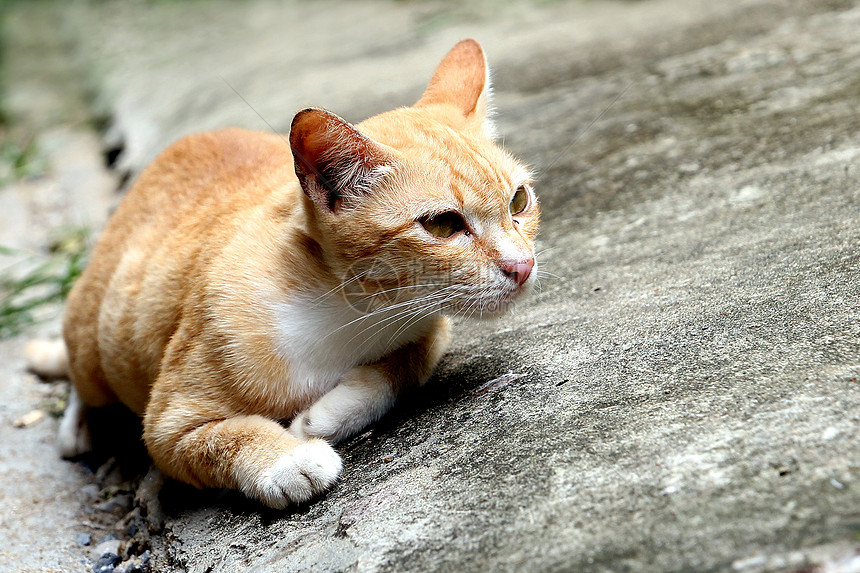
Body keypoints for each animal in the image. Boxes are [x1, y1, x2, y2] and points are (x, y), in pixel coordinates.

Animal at [26, 38, 536, 508]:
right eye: (443, 224)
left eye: (519, 201)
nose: (523, 265)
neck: (349, 312)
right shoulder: (167, 423)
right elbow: (218, 439)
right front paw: (288, 459)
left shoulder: (430, 326)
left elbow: (411, 360)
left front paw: (326, 415)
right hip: (99, 340)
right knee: (84, 373)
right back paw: (78, 425)